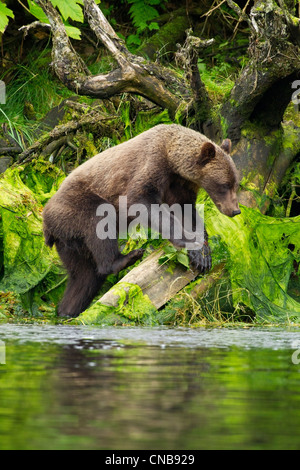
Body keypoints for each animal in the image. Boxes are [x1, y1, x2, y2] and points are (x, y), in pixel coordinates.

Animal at [42, 123, 239, 318]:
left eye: (235, 183)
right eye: (224, 185)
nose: (235, 210)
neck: (172, 159)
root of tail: (46, 224)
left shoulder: (179, 185)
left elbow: (186, 212)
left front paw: (203, 254)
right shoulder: (151, 165)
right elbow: (141, 201)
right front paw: (190, 244)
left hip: (70, 243)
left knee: (83, 277)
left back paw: (67, 310)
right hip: (76, 206)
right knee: (98, 224)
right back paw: (126, 257)